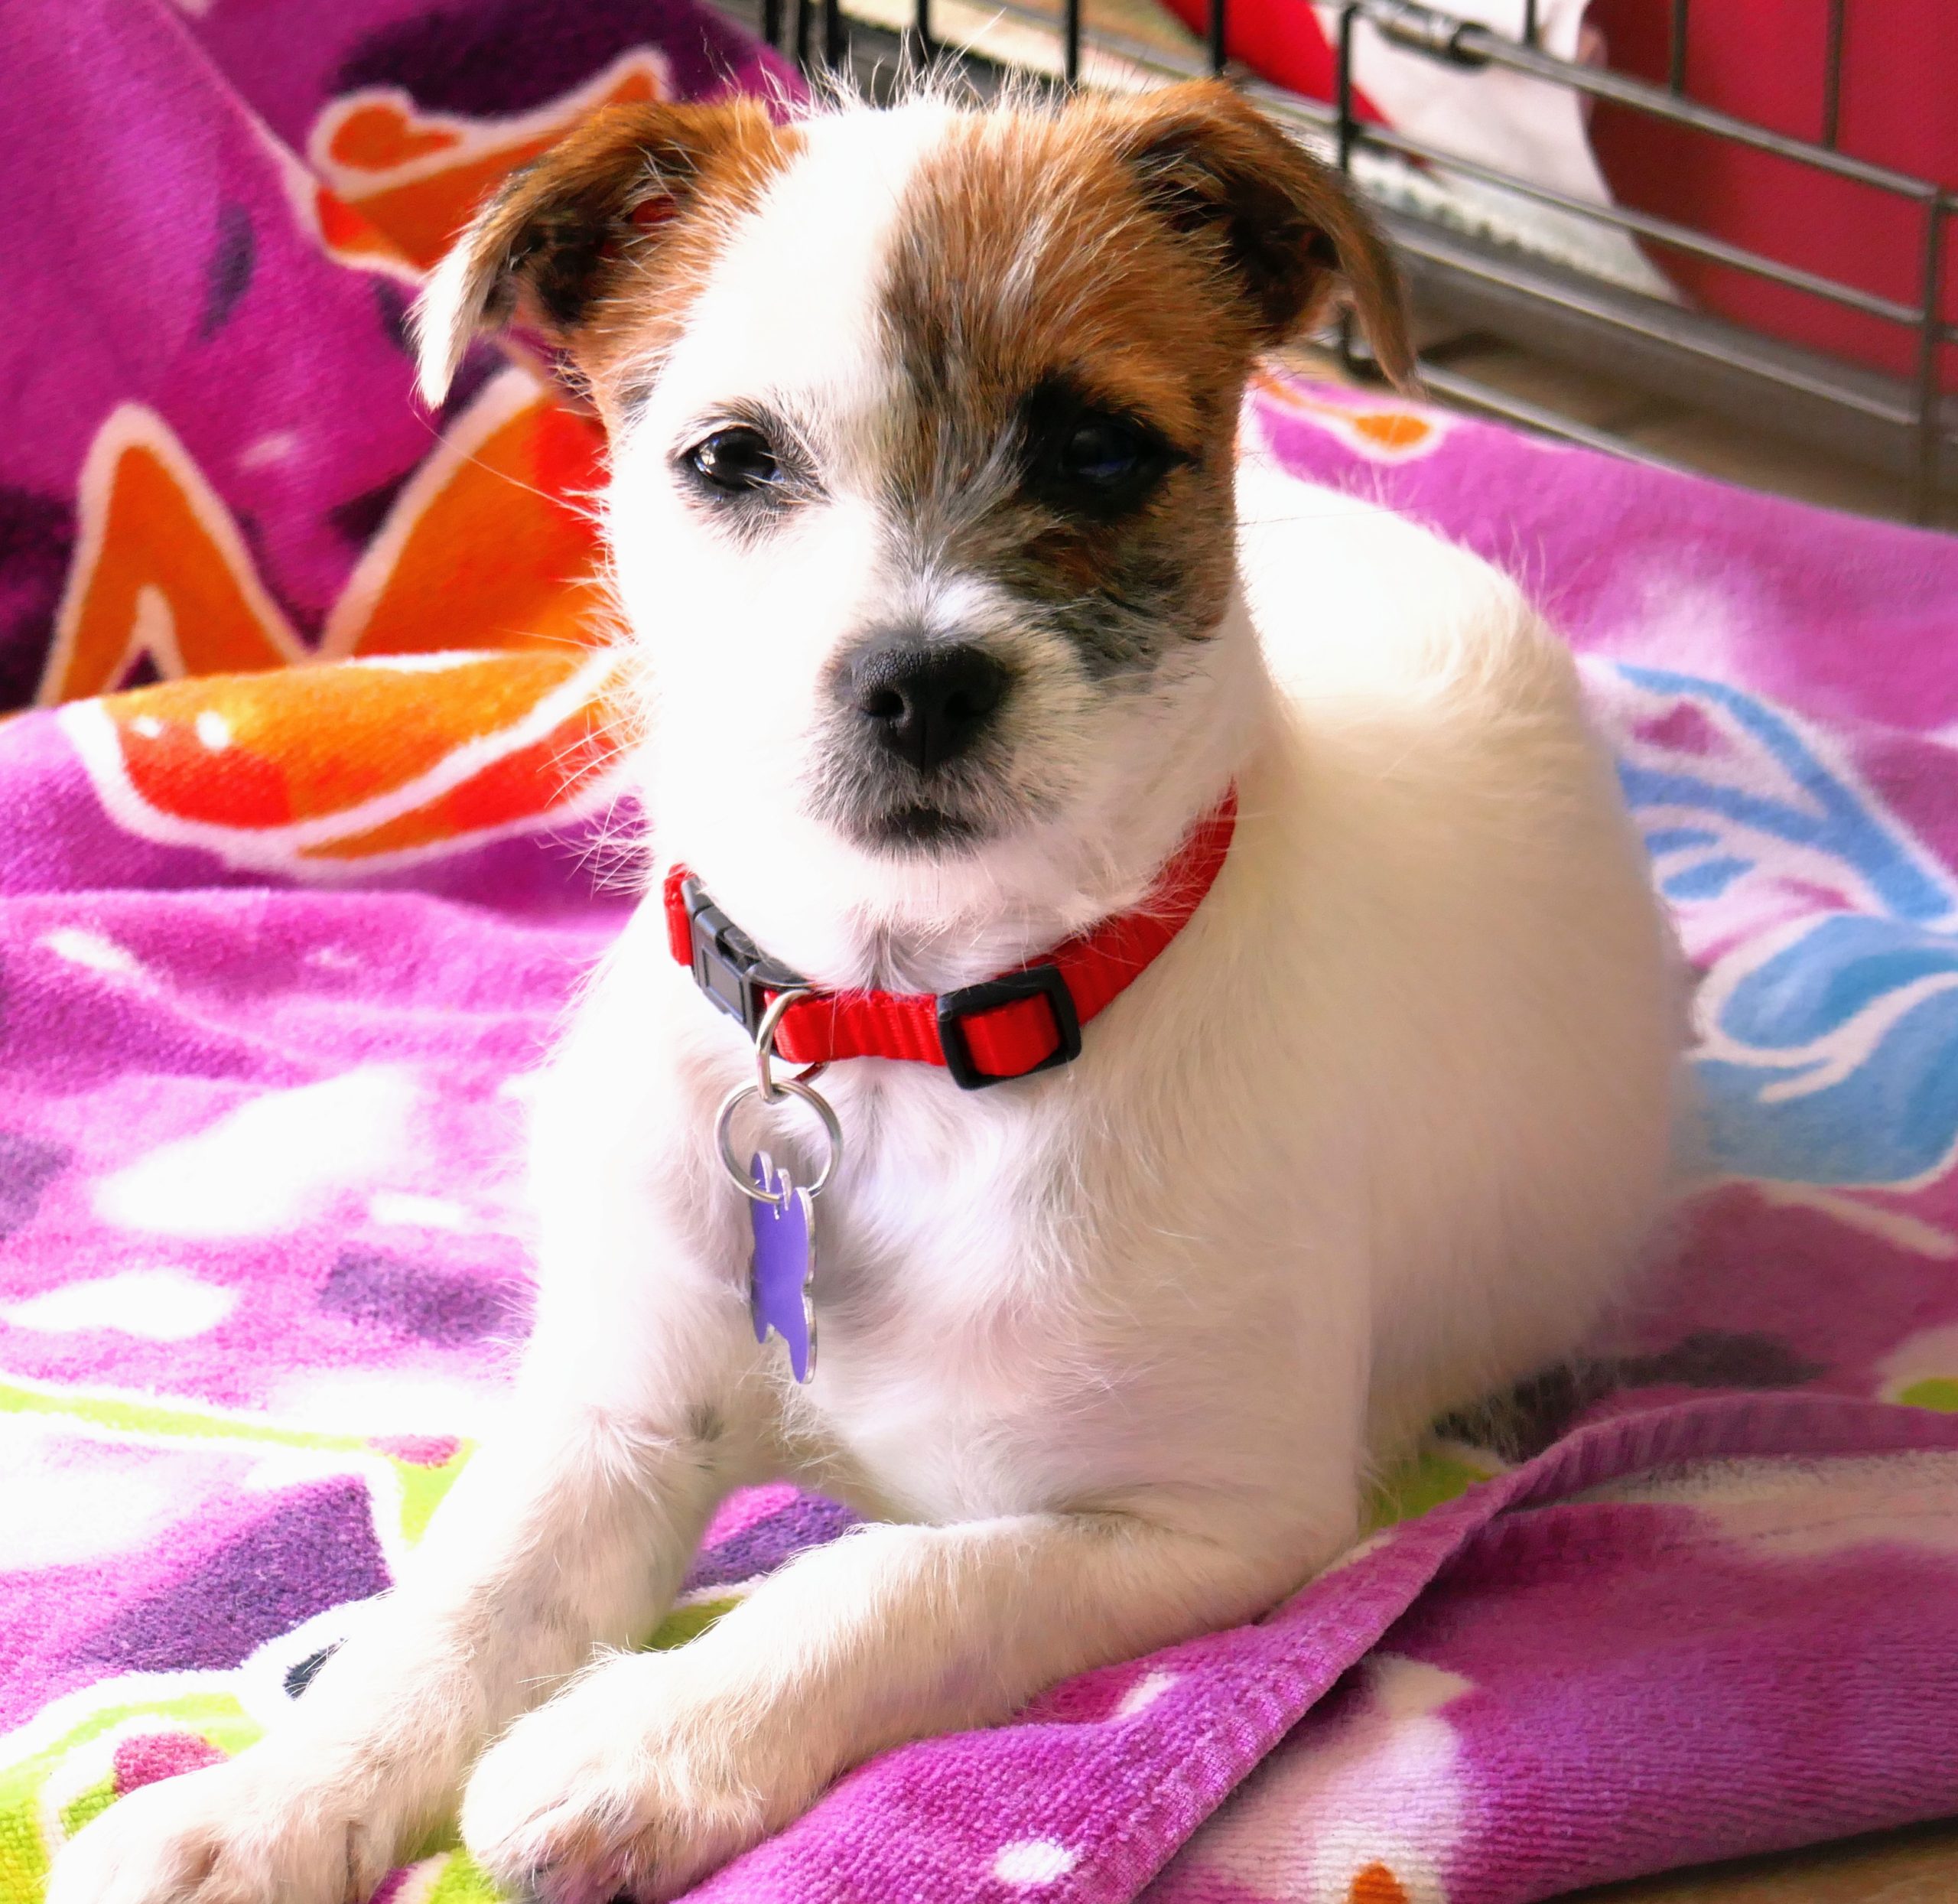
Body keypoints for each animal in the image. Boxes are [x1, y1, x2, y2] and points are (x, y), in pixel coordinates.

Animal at [49, 77, 1683, 1904]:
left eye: (1099, 449)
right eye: (730, 458)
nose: (917, 679)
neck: (891, 1020)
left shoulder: (1207, 1520)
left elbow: (890, 1580)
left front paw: (636, 1739)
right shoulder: (615, 1414)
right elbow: (461, 1600)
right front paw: (268, 1800)